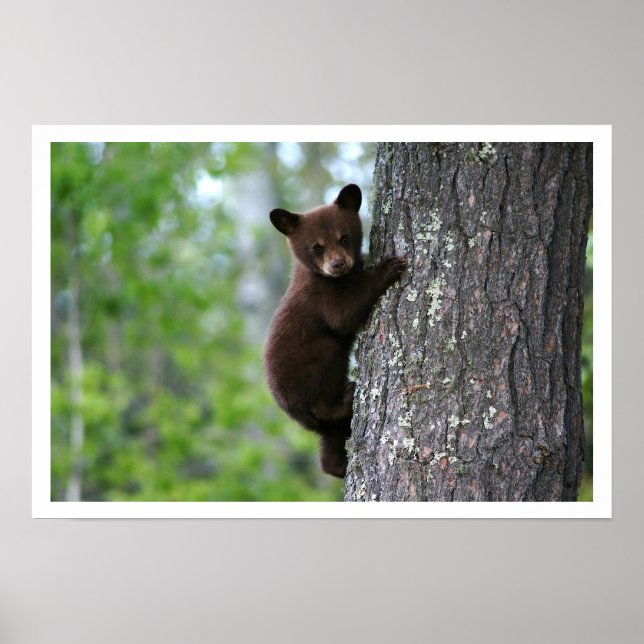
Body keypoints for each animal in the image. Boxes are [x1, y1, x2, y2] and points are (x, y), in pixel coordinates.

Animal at [263, 184, 407, 478]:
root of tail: (293, 412)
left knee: (330, 444)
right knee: (325, 380)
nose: (338, 264)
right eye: (317, 246)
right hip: (309, 370)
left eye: (344, 238)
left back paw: (338, 466)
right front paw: (387, 268)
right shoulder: (320, 295)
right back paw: (346, 397)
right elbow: (343, 316)